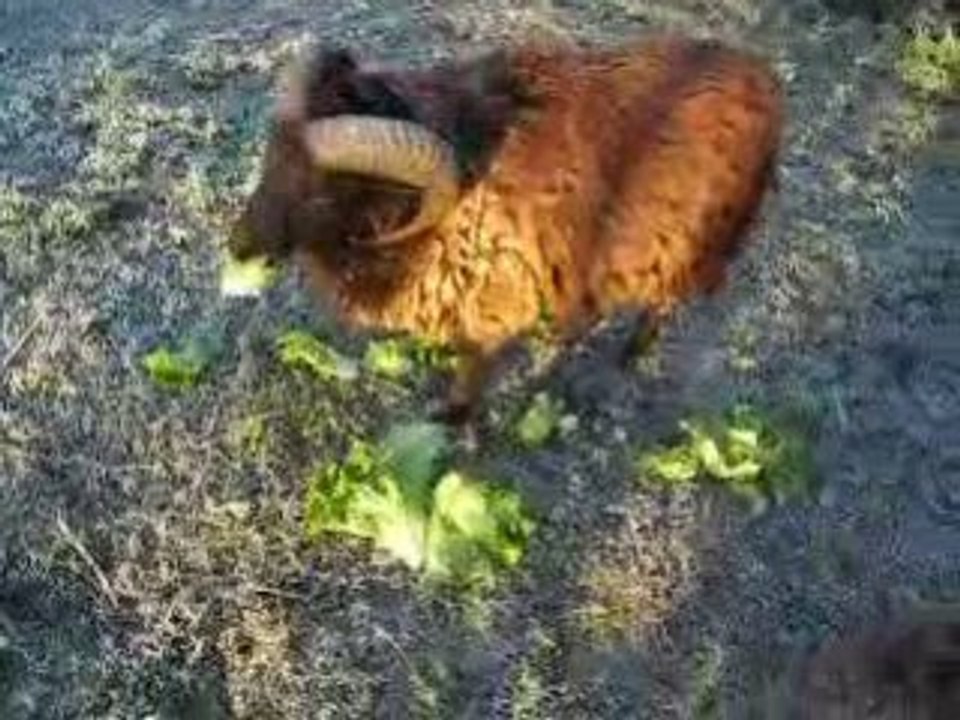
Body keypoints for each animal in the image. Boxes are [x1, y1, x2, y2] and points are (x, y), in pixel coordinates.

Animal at [225, 34, 784, 424]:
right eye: (270, 160)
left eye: (324, 190)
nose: (239, 246)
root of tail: (763, 77)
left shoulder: (494, 308)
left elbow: (472, 369)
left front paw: (451, 420)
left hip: (693, 244)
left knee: (661, 305)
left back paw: (629, 355)